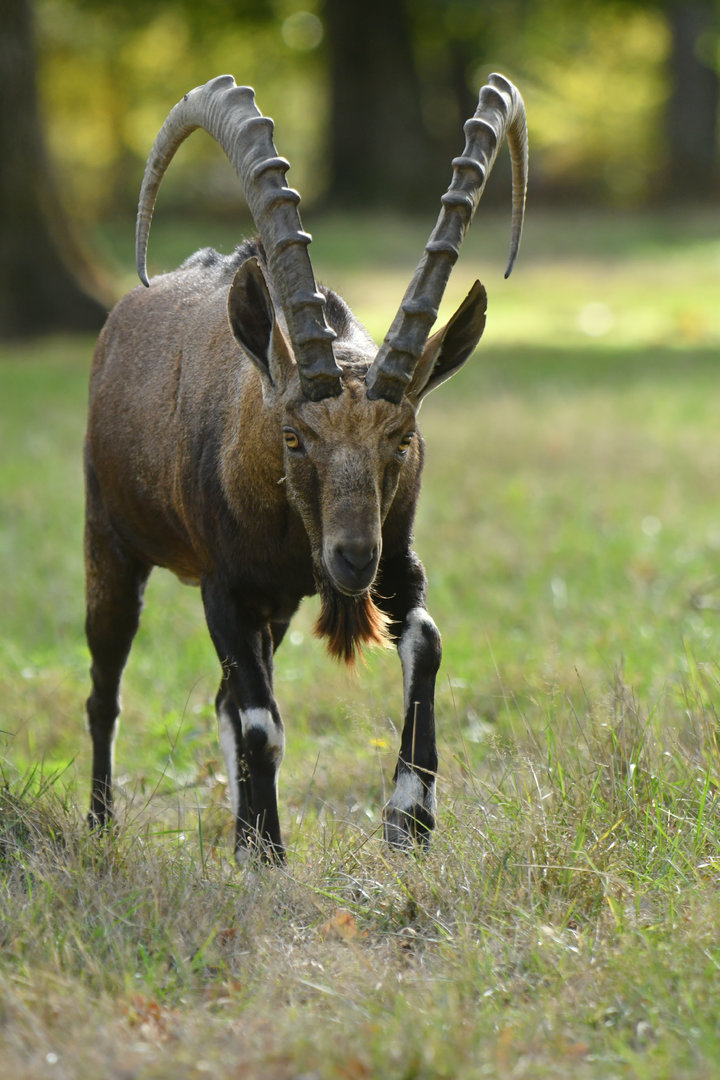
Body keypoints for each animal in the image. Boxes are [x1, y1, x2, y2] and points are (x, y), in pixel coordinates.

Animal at [84, 72, 527, 861]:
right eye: (293, 436)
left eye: (403, 438)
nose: (350, 560)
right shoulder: (226, 587)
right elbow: (262, 721)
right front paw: (267, 854)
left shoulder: (395, 559)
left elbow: (426, 643)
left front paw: (409, 821)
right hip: (110, 541)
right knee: (107, 688)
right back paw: (103, 825)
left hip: (284, 605)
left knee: (222, 699)